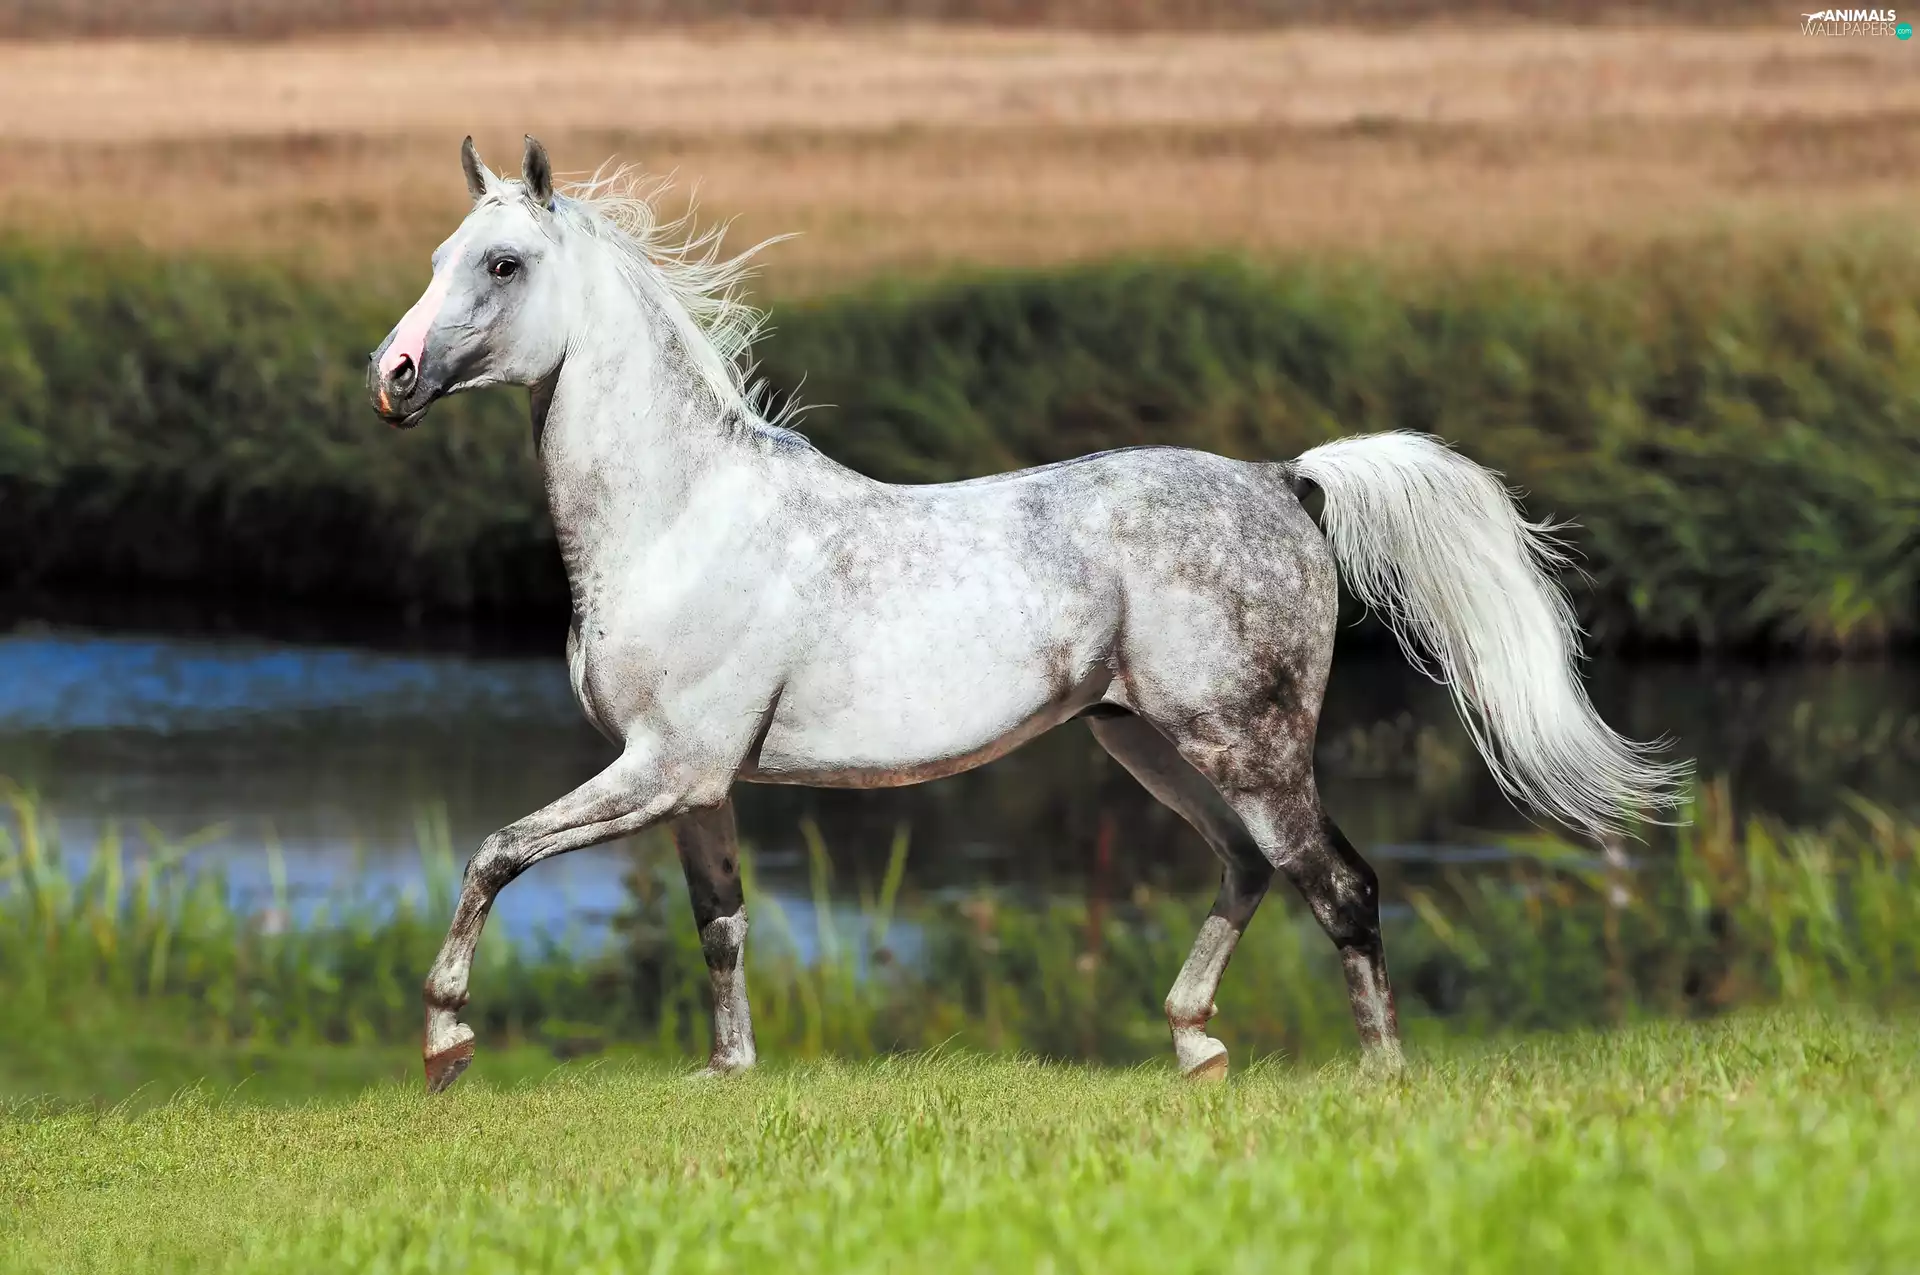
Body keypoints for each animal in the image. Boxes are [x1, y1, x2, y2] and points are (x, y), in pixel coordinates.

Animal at [368, 136, 1686, 1093]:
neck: (678, 519)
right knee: (1251, 870)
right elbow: (721, 925)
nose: (391, 378)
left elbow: (494, 854)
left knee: (1340, 884)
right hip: (1146, 740)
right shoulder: (697, 786)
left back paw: (1379, 1078)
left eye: (502, 265)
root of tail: (1285, 482)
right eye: (437, 252)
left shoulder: (666, 766)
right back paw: (1196, 1047)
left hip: (1246, 741)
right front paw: (728, 1073)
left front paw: (445, 1043)